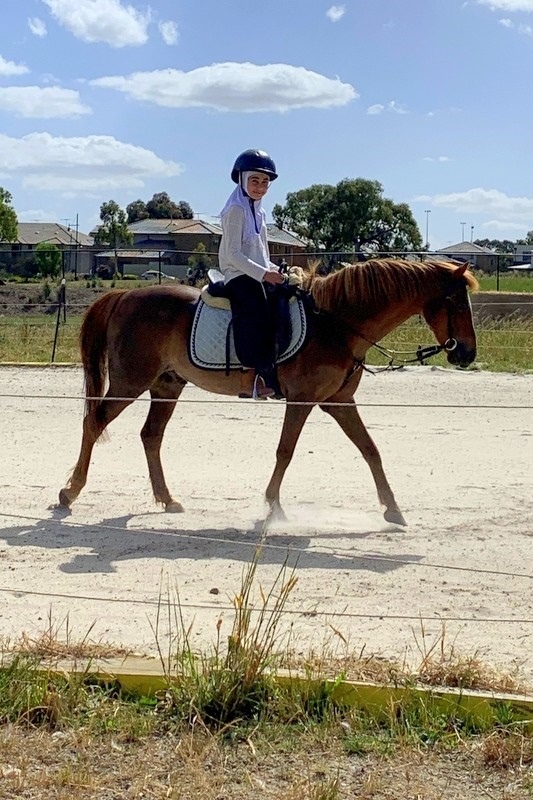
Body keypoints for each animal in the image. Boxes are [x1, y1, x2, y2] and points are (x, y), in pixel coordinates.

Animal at [58, 260, 478, 528]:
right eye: (456, 302)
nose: (467, 353)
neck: (336, 324)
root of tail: (124, 295)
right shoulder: (303, 400)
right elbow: (286, 451)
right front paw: (274, 508)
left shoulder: (339, 402)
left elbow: (370, 449)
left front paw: (393, 509)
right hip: (130, 382)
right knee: (93, 421)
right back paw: (70, 492)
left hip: (166, 384)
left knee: (150, 436)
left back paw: (167, 499)